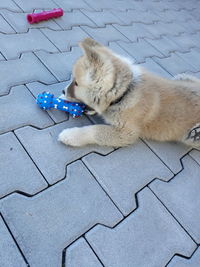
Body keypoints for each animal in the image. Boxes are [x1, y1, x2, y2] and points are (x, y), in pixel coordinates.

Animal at [58, 37, 200, 149]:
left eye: (76, 83)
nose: (63, 90)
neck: (125, 92)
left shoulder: (126, 133)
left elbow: (95, 131)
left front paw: (69, 135)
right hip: (183, 76)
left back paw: (195, 133)